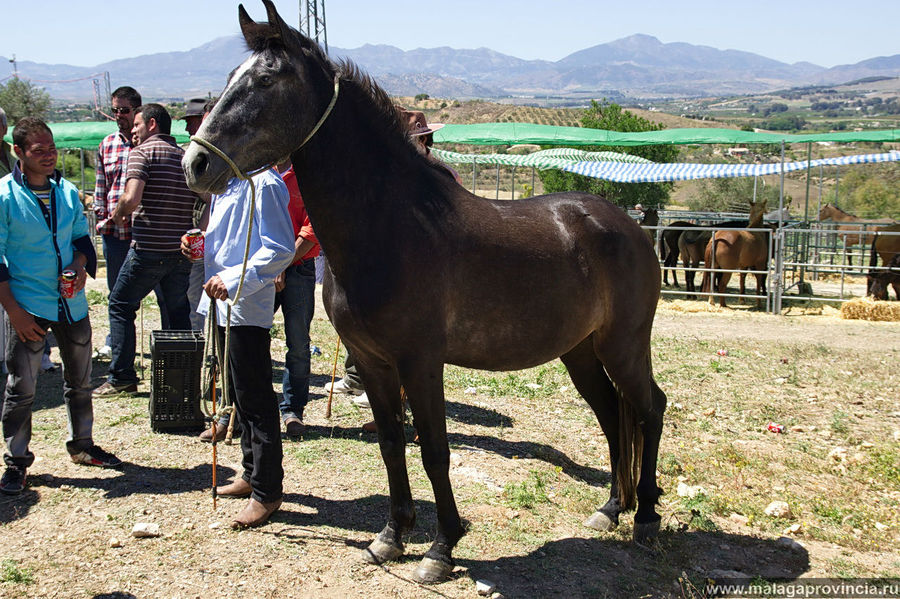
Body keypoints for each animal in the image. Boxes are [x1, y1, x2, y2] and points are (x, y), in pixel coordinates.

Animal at [179, 0, 664, 580]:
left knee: (650, 409)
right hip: (581, 353)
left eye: (267, 79)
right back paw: (611, 508)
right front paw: (392, 536)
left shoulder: (421, 361)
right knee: (614, 416)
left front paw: (441, 548)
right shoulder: (372, 361)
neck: (392, 227)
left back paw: (646, 517)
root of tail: (628, 225)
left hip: (624, 346)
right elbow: (391, 444)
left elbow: (433, 450)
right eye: (233, 74)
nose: (195, 164)